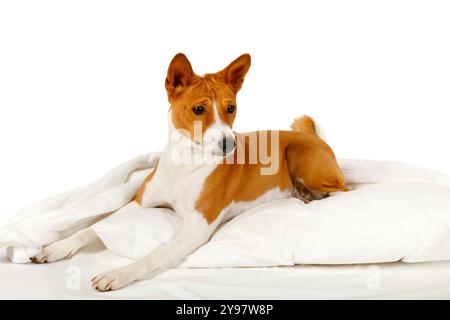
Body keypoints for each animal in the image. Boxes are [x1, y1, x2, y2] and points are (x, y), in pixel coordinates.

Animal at [31, 53, 348, 292]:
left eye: (231, 108)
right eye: (198, 109)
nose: (230, 144)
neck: (184, 163)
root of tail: (314, 136)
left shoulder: (196, 228)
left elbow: (153, 255)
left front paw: (118, 274)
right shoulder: (139, 203)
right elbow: (92, 227)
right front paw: (57, 247)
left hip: (301, 158)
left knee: (345, 188)